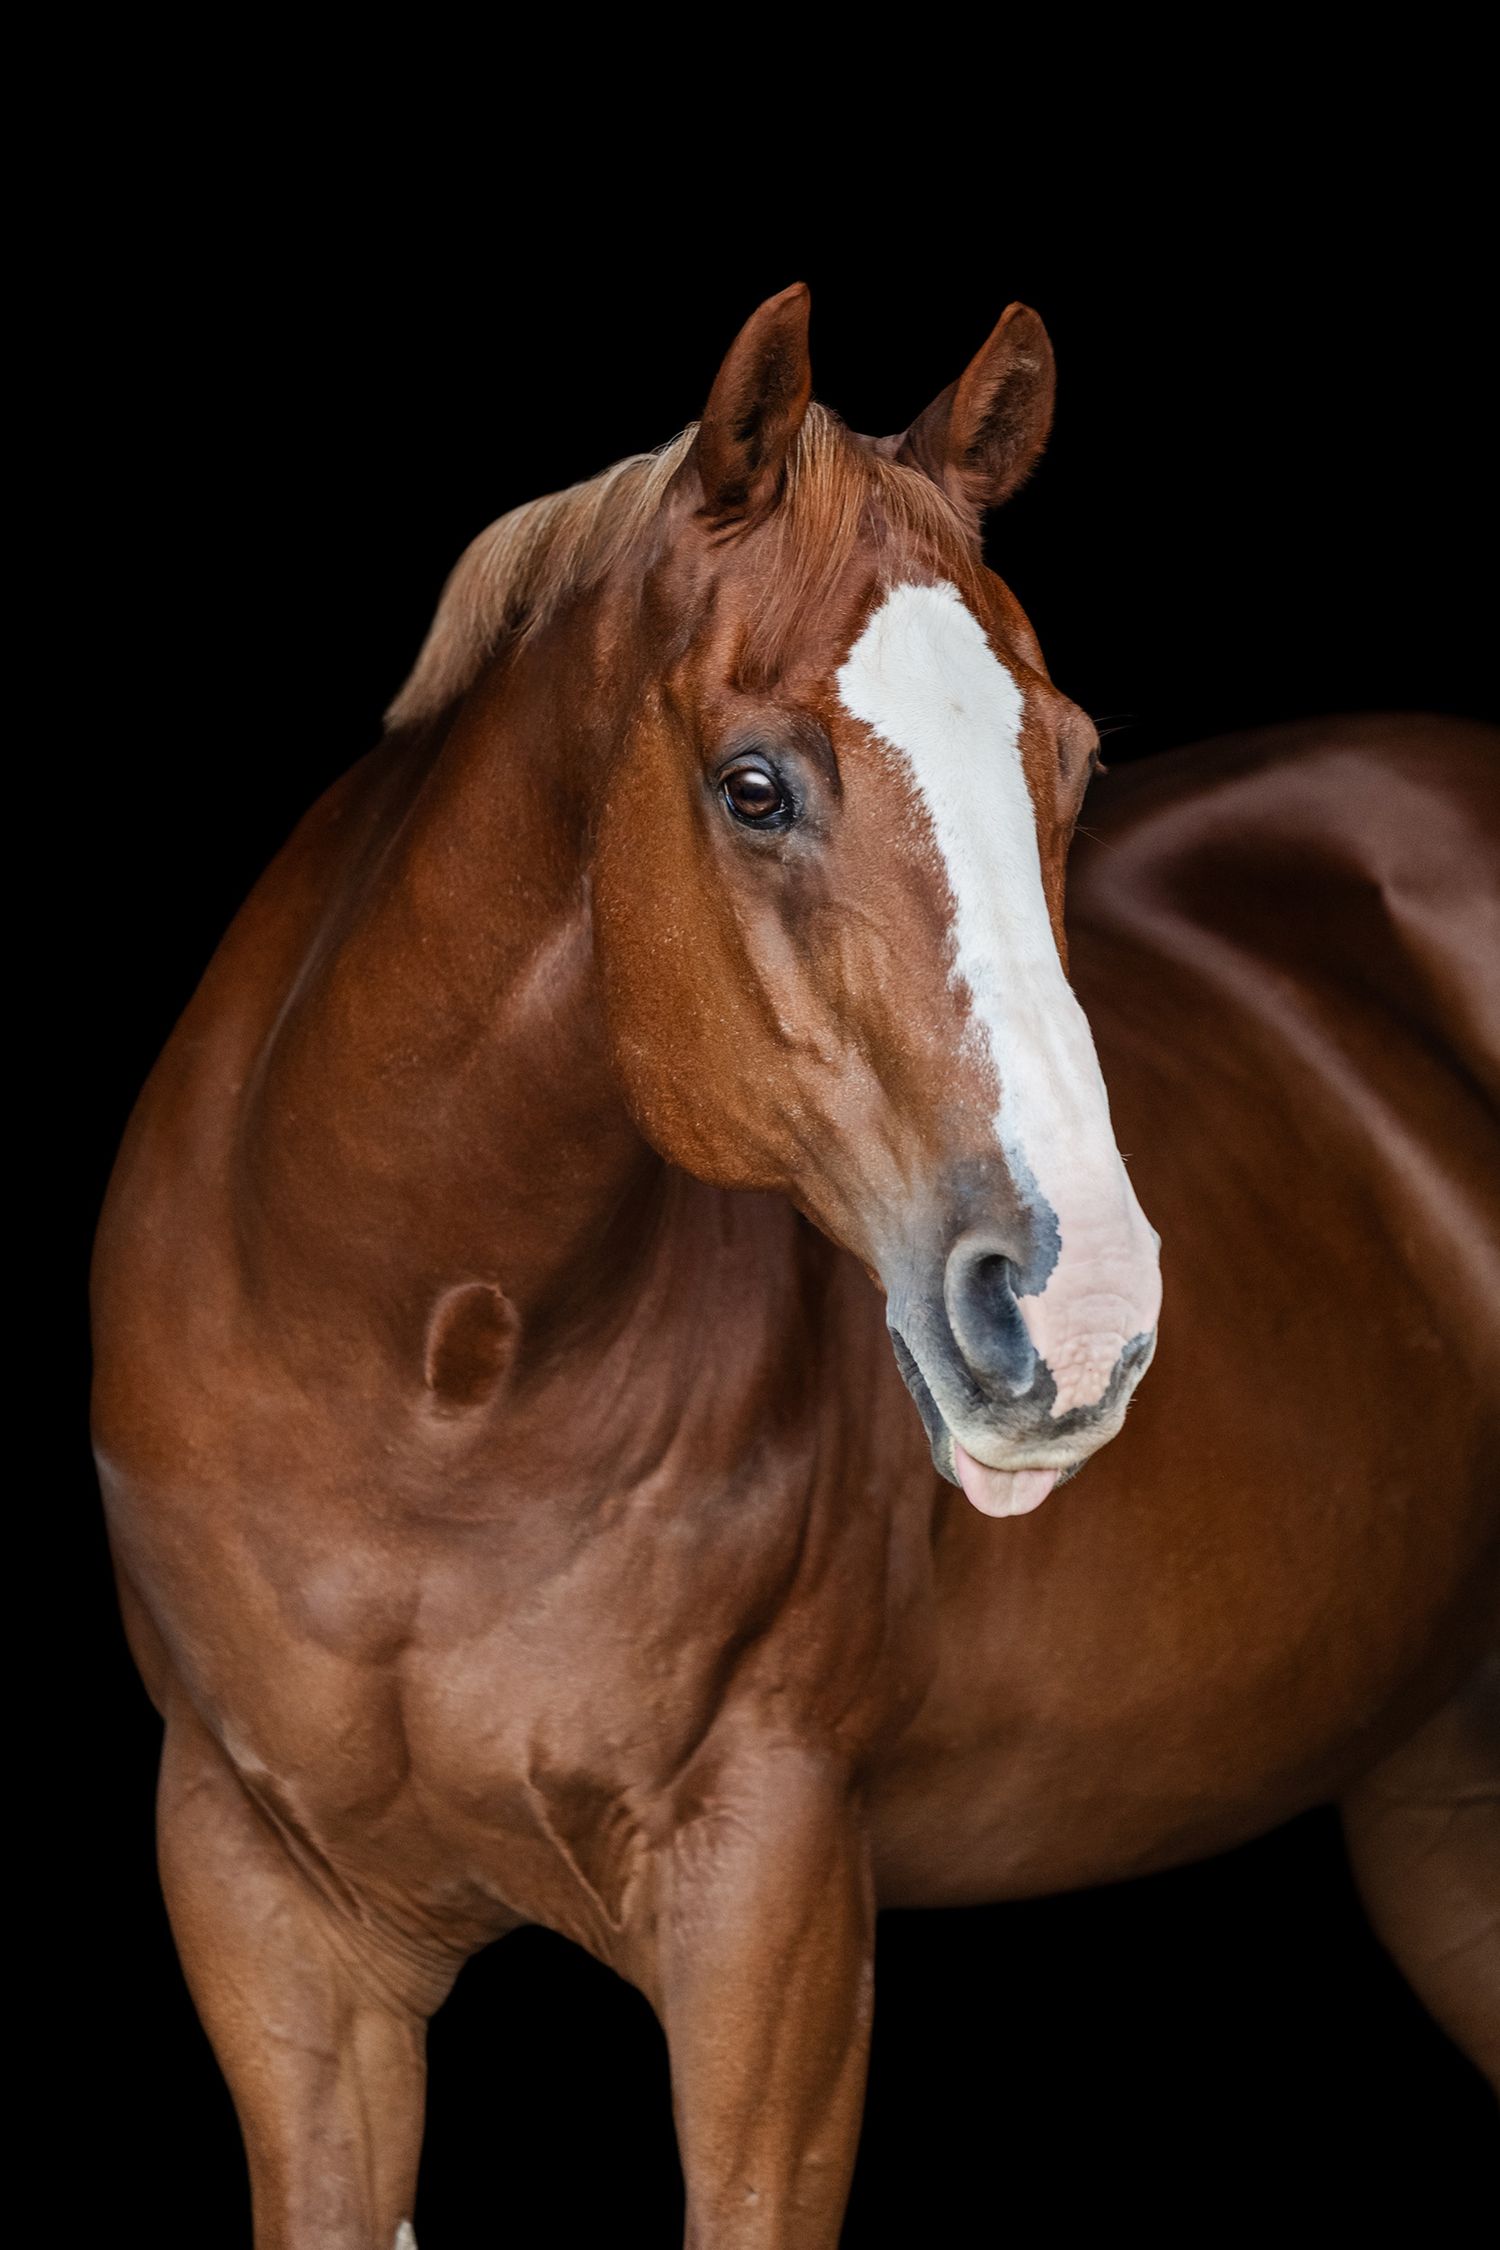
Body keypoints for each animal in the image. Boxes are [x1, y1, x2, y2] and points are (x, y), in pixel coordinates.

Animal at [91, 283, 1500, 2248]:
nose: (1078, 1318)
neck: (413, 1371)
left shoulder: (773, 1913)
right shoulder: (271, 1922)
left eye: (1071, 767)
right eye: (754, 787)